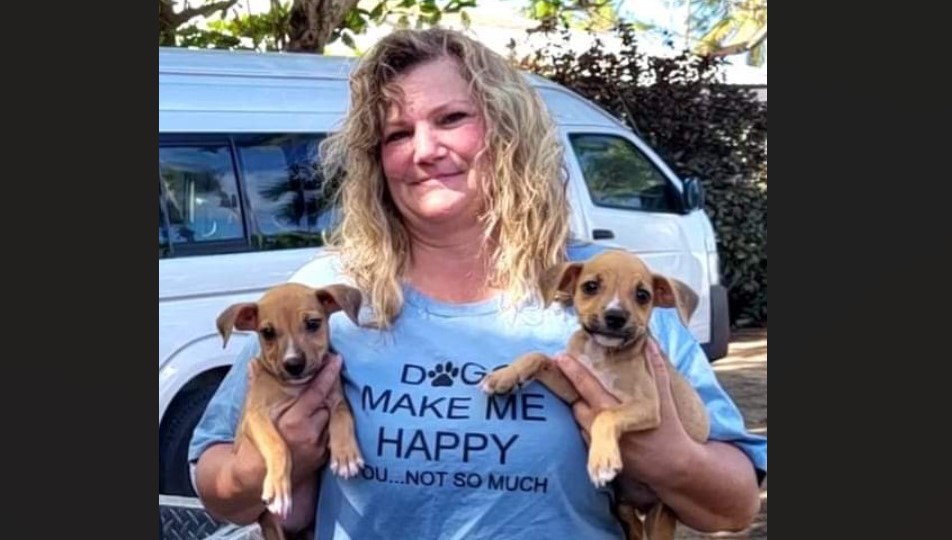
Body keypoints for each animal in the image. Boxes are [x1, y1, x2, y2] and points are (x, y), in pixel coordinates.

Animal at [216, 282, 364, 540]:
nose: (293, 364)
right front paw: (278, 488)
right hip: (272, 527)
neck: (295, 387)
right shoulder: (256, 417)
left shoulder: (337, 400)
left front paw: (346, 455)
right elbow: (278, 444)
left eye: (313, 324)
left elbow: (343, 418)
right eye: (267, 332)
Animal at [480, 250, 712, 540]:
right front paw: (505, 376)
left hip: (661, 516)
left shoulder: (647, 405)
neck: (602, 353)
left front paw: (601, 461)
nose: (615, 316)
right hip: (623, 507)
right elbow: (537, 355)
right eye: (590, 286)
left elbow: (606, 416)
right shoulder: (573, 388)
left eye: (642, 295)